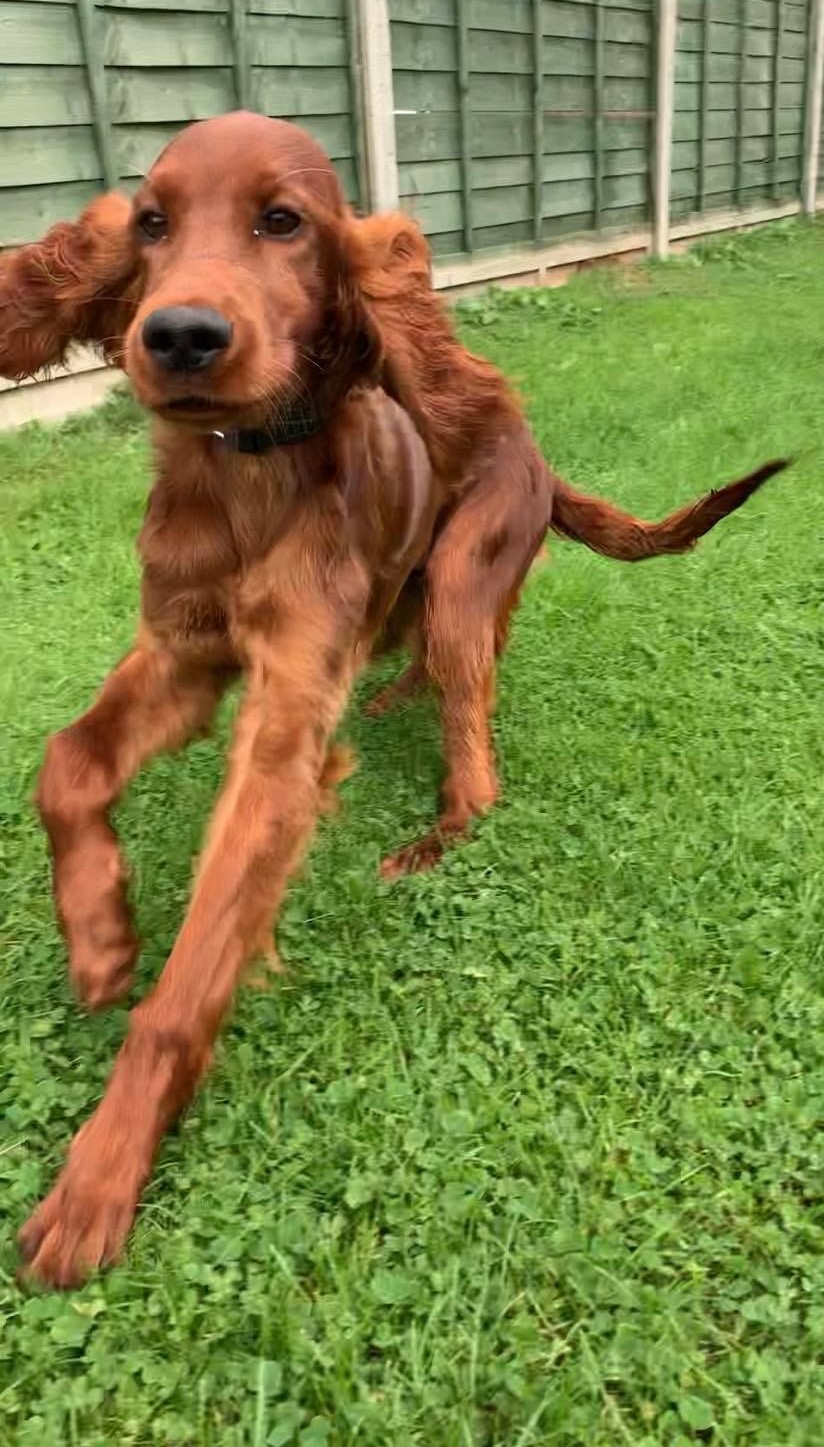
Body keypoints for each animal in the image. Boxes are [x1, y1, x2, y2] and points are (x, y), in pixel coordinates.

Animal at [0, 115, 782, 1290]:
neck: (249, 475)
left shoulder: (281, 725)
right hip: (420, 588)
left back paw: (434, 833)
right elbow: (67, 761)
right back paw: (389, 704)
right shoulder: (182, 652)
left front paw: (100, 1174)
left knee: (477, 750)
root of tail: (530, 441)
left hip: (461, 581)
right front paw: (99, 937)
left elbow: (184, 990)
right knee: (427, 662)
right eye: (150, 222)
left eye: (283, 221)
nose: (177, 335)